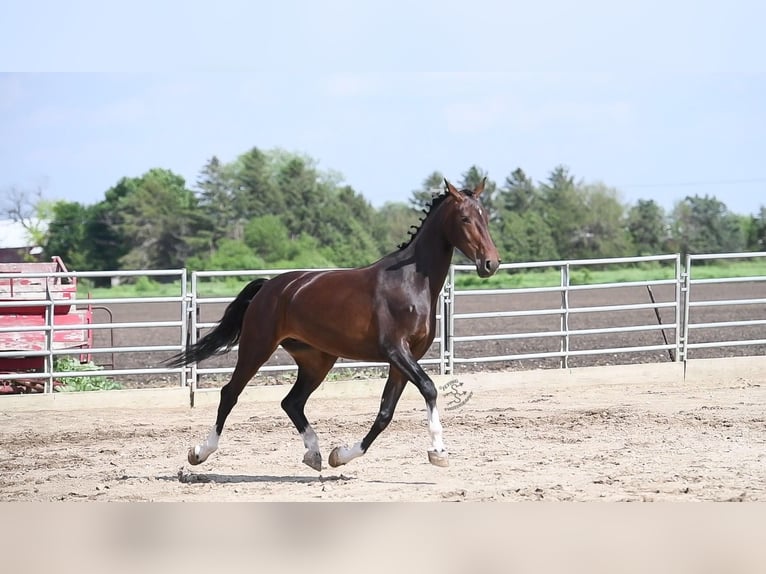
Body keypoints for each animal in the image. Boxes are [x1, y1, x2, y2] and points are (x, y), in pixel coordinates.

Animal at [168, 177, 500, 471]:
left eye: (486, 217)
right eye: (465, 218)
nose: (490, 264)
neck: (410, 282)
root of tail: (268, 287)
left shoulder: (406, 358)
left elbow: (385, 412)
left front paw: (340, 455)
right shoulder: (395, 351)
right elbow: (429, 388)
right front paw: (439, 451)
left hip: (316, 360)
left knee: (292, 402)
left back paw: (314, 454)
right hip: (257, 347)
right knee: (230, 394)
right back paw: (199, 453)